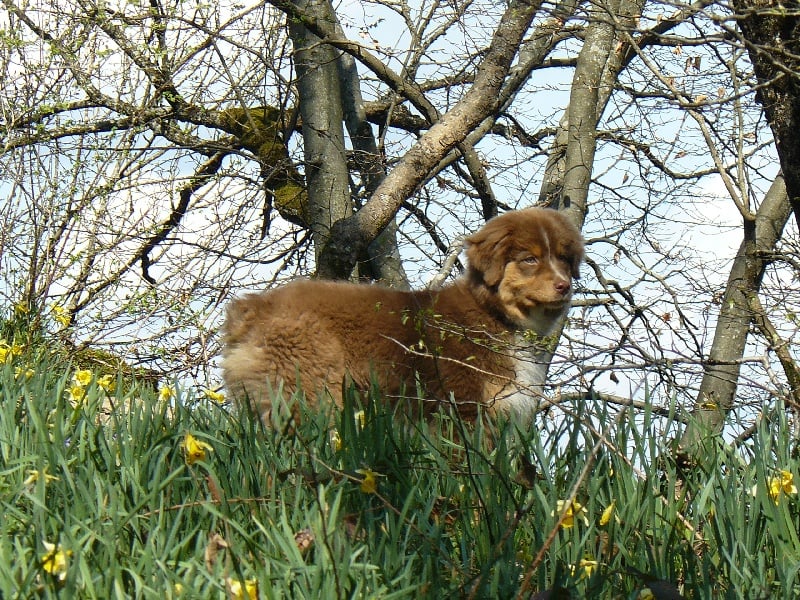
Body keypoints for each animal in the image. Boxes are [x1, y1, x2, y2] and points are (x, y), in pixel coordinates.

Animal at [222, 209, 584, 424]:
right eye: (529, 260)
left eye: (564, 259)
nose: (564, 286)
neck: (495, 314)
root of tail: (254, 306)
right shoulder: (462, 410)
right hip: (309, 392)